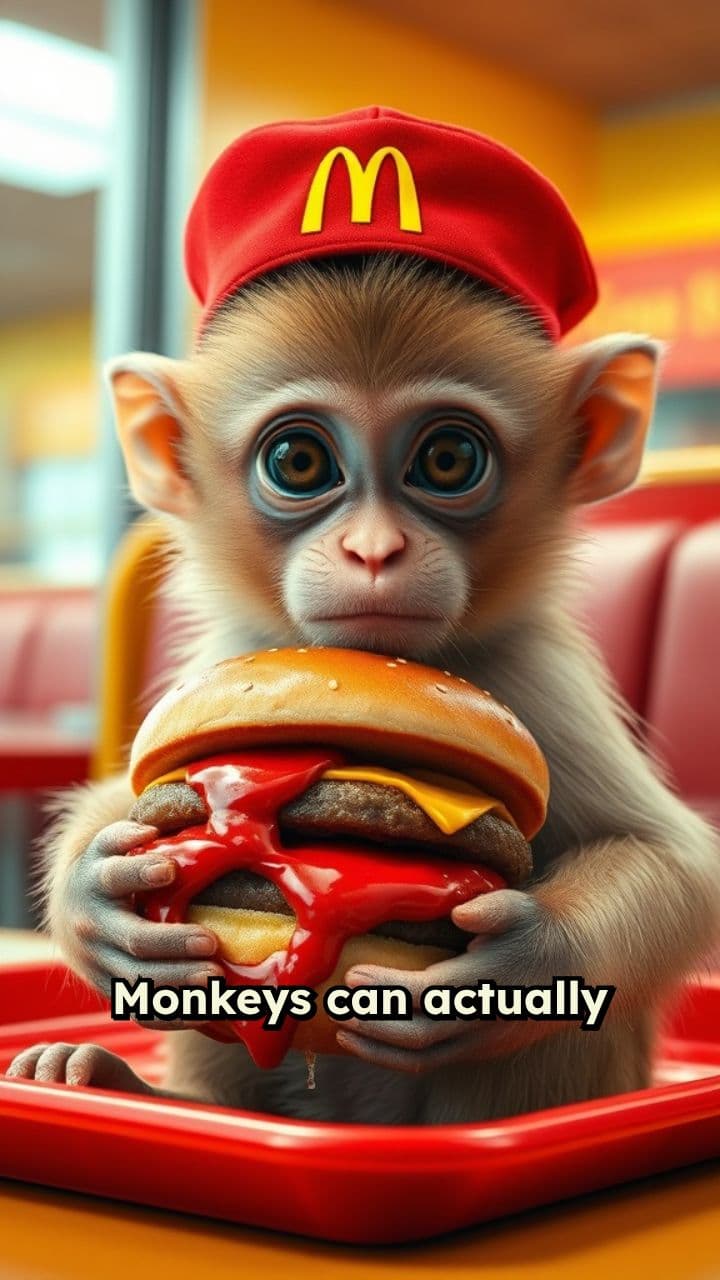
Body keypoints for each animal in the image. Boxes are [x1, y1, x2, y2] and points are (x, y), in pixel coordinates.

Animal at [7, 253, 720, 1124]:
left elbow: (669, 860)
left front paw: (521, 957)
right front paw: (95, 894)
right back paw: (123, 1079)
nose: (375, 551)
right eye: (298, 462)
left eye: (448, 460)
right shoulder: (227, 657)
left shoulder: (543, 680)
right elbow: (132, 796)